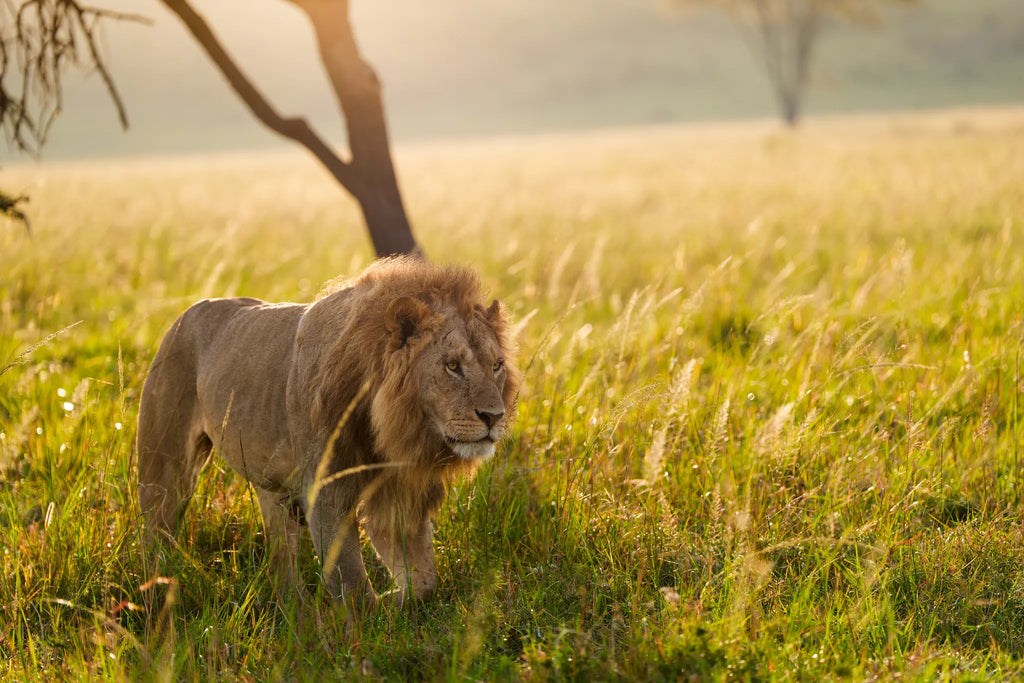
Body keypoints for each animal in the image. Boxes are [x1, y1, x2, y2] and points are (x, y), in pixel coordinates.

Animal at [136, 256, 519, 608]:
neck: (390, 426)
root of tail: (191, 309)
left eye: (496, 365)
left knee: (282, 560)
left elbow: (425, 581)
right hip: (165, 463)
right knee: (155, 529)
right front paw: (368, 623)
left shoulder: (394, 490)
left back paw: (296, 610)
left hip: (272, 490)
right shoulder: (326, 490)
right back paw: (157, 586)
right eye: (452, 366)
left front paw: (395, 599)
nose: (494, 417)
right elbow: (352, 585)